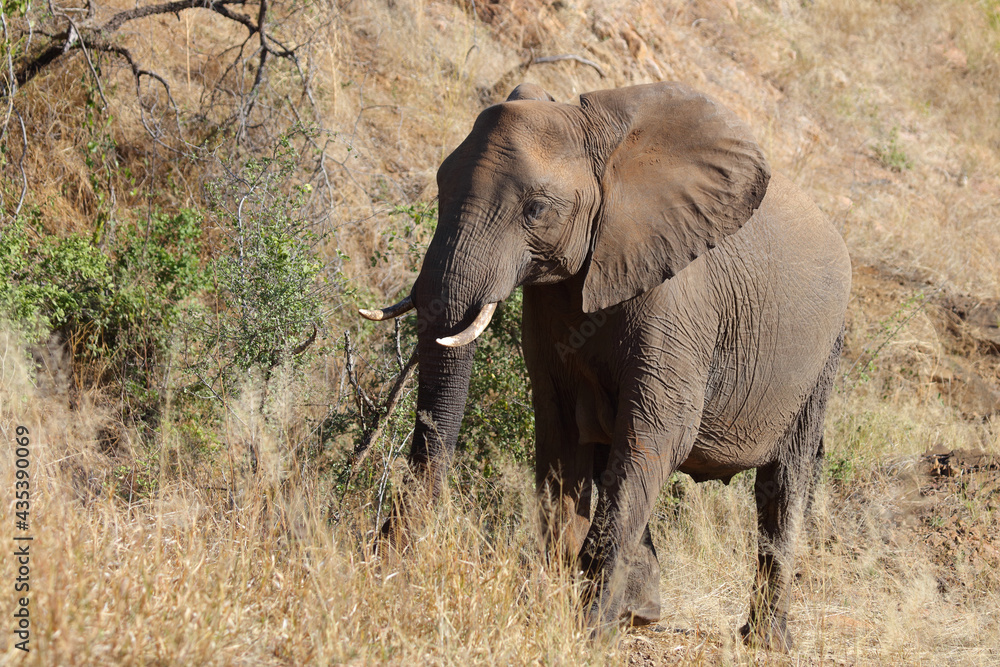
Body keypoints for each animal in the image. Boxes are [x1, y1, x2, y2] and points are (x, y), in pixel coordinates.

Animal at [360, 81, 851, 651]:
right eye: (440, 184)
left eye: (536, 209)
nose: (387, 558)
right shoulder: (552, 302)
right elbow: (562, 433)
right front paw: (554, 614)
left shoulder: (679, 301)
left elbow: (658, 436)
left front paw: (586, 631)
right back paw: (640, 614)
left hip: (824, 354)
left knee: (783, 482)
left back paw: (764, 641)